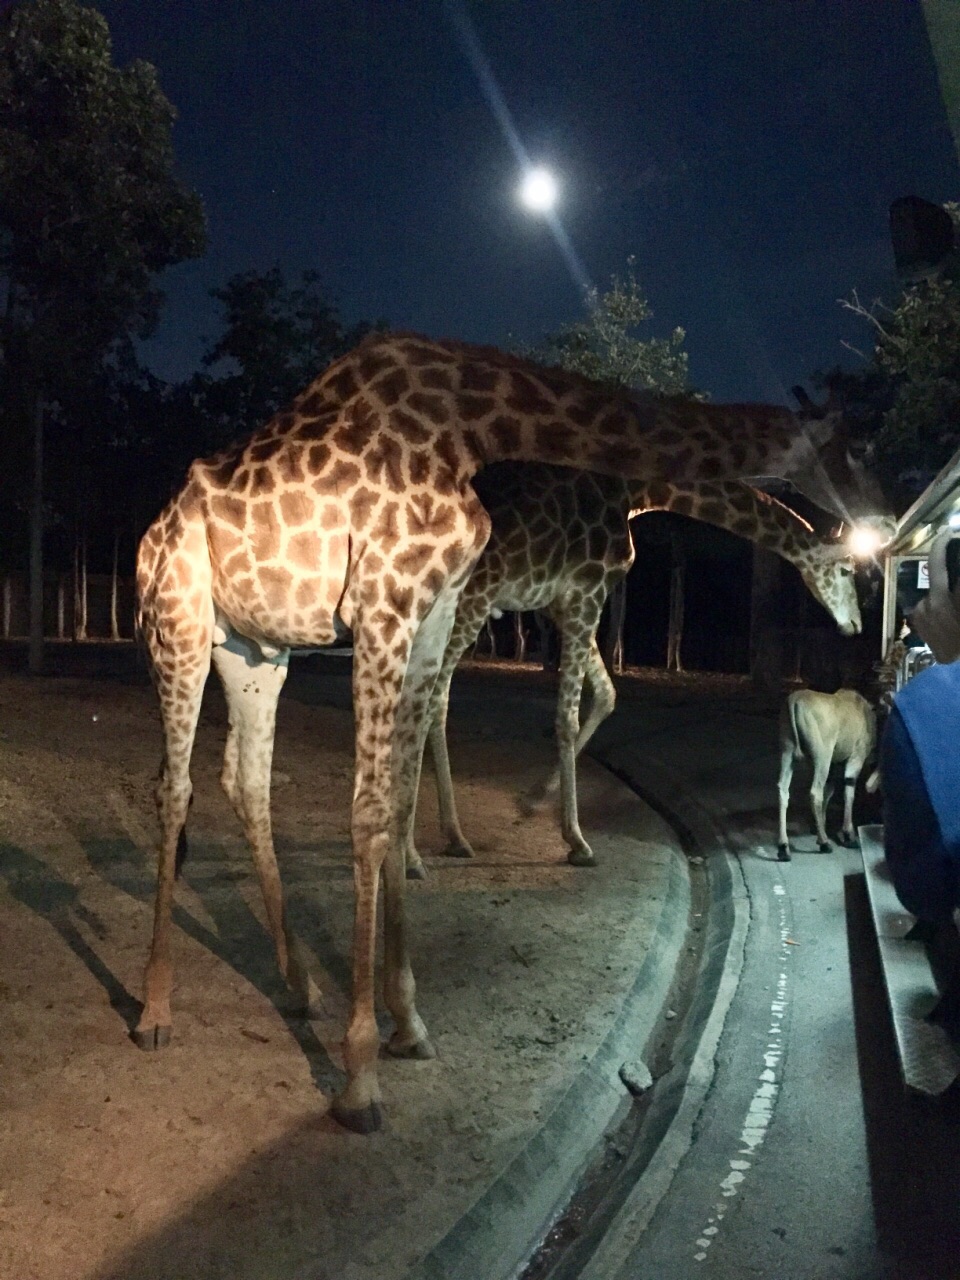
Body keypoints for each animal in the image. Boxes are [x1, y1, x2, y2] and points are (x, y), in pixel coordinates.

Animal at [401, 465, 870, 875]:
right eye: (846, 569)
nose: (855, 626)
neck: (635, 494)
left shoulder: (562, 604)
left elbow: (608, 695)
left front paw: (535, 800)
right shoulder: (585, 591)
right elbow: (567, 718)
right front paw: (578, 840)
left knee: (427, 701)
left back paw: (451, 837)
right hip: (470, 601)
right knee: (427, 702)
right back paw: (412, 855)